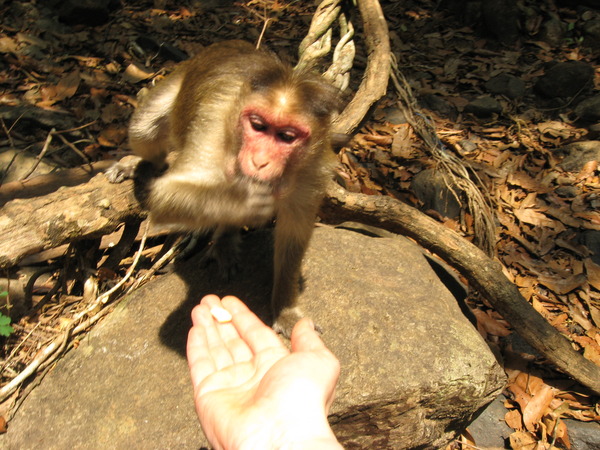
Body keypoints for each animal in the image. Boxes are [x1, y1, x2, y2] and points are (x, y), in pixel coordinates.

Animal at [107, 40, 342, 336]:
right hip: (173, 83)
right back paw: (138, 163)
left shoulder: (314, 170)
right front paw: (243, 201)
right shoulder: (214, 126)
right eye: (258, 126)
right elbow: (167, 194)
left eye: (287, 137)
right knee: (145, 131)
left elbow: (294, 234)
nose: (260, 161)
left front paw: (285, 308)